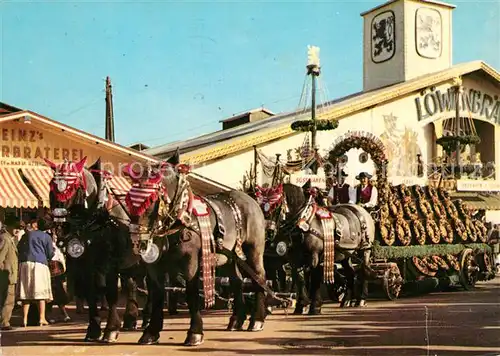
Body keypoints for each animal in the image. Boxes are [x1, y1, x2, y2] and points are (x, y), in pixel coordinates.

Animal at [122, 152, 268, 346]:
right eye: (129, 199)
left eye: (151, 199)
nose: (139, 241)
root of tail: (252, 200)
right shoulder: (155, 267)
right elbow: (158, 295)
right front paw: (151, 332)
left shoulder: (190, 262)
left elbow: (191, 294)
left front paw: (195, 332)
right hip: (228, 256)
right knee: (236, 281)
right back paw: (237, 319)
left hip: (253, 250)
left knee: (258, 277)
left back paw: (257, 320)